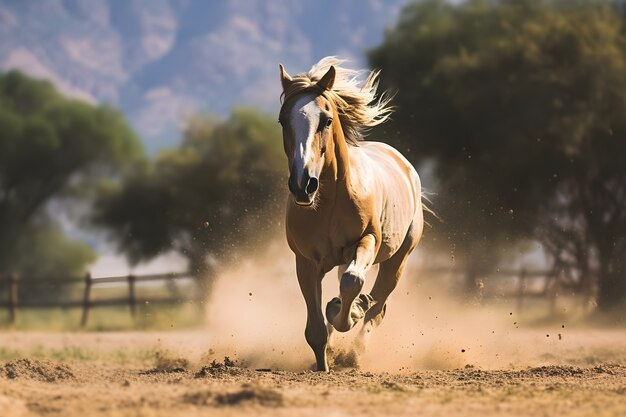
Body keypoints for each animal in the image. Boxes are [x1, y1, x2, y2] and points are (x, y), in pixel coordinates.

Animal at [278, 56, 424, 370]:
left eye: (326, 120)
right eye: (283, 120)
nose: (303, 185)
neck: (329, 202)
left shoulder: (366, 241)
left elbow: (352, 283)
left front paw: (351, 311)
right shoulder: (305, 261)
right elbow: (315, 329)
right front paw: (322, 364)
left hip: (397, 260)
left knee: (377, 308)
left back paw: (354, 352)